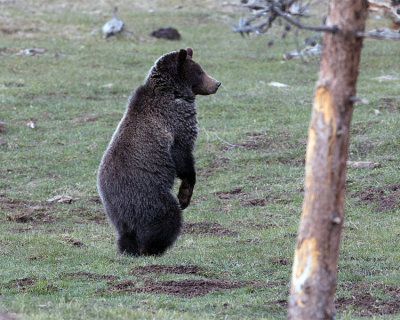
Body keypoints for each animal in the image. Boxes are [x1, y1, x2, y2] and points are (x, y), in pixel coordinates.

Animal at [97, 48, 222, 258]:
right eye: (199, 71)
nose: (217, 83)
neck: (174, 92)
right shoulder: (175, 127)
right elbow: (183, 159)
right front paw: (185, 195)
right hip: (149, 196)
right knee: (167, 218)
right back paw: (154, 248)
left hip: (115, 213)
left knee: (125, 234)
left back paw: (129, 249)